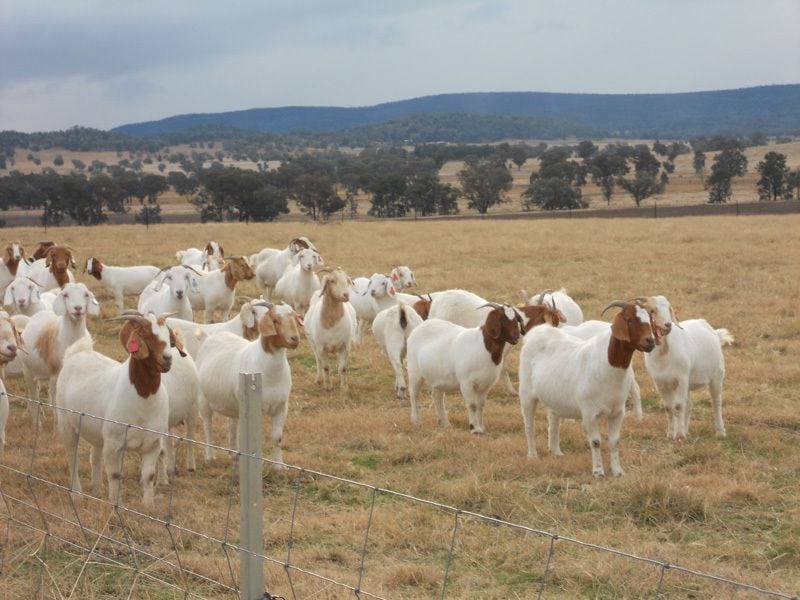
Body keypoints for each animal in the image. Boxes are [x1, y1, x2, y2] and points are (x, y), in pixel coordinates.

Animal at [56, 312, 181, 507]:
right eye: (145, 335)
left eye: (169, 337)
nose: (167, 359)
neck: (143, 399)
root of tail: (76, 354)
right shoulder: (114, 445)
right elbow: (115, 475)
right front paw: (114, 505)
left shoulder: (152, 444)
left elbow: (149, 476)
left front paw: (148, 507)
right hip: (66, 423)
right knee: (72, 457)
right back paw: (77, 495)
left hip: (98, 432)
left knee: (95, 455)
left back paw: (97, 490)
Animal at [196, 303, 300, 465]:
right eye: (275, 320)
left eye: (294, 318)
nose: (295, 339)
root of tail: (209, 337)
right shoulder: (256, 408)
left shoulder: (281, 406)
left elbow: (277, 438)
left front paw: (280, 466)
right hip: (203, 399)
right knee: (208, 426)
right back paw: (210, 457)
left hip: (233, 403)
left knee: (232, 425)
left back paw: (234, 454)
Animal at [407, 304, 523, 433]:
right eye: (502, 318)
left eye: (517, 319)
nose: (516, 336)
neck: (483, 346)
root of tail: (419, 328)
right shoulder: (466, 383)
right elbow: (472, 405)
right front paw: (474, 428)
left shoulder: (485, 385)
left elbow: (481, 405)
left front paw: (481, 427)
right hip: (414, 370)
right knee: (414, 394)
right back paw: (416, 421)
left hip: (438, 377)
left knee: (437, 397)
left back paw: (445, 423)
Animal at [518, 301, 656, 478]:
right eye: (629, 319)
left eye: (650, 319)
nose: (650, 341)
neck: (608, 366)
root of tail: (538, 332)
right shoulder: (589, 413)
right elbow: (596, 442)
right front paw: (598, 472)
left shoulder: (618, 412)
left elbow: (615, 441)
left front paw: (617, 471)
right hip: (526, 393)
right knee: (529, 425)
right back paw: (532, 455)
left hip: (554, 397)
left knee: (553, 422)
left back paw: (556, 452)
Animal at [638, 295, 732, 440]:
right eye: (652, 310)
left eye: (669, 308)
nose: (668, 324)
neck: (664, 355)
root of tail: (714, 333)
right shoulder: (660, 383)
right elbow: (669, 408)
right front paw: (671, 435)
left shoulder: (681, 379)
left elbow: (678, 407)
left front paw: (680, 435)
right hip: (688, 383)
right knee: (689, 405)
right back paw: (687, 430)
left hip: (716, 377)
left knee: (716, 402)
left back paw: (720, 432)